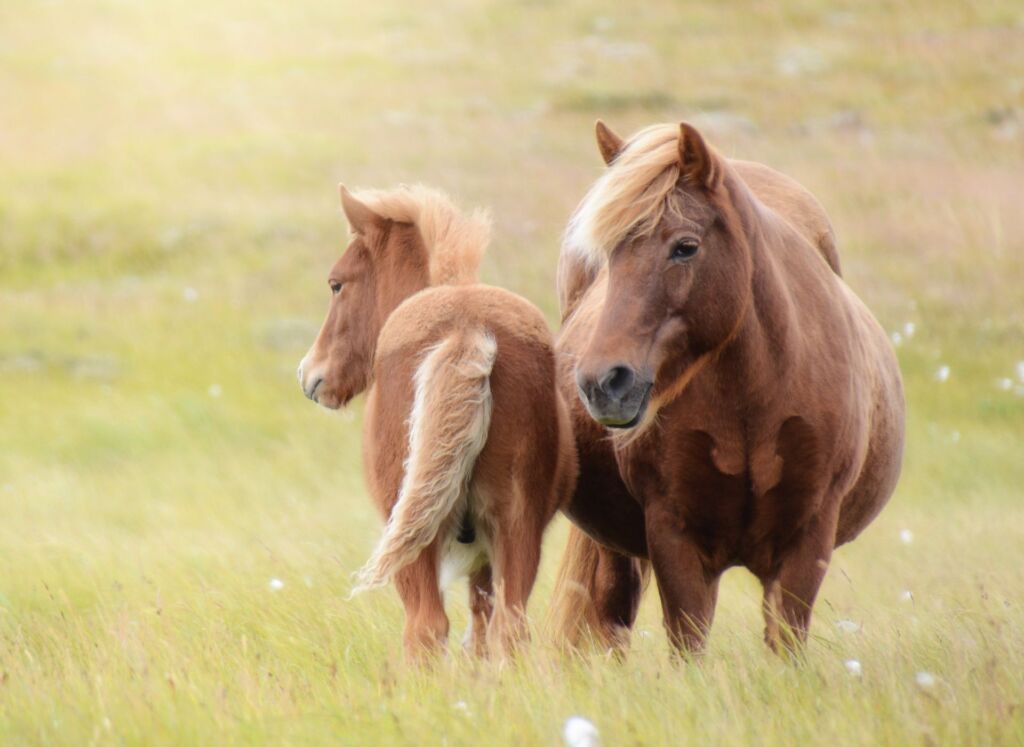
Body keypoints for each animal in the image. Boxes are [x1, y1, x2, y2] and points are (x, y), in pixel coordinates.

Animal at [299, 186, 581, 659]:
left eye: (336, 283)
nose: (311, 375)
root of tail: (466, 328)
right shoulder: (486, 555)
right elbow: (482, 629)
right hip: (516, 526)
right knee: (508, 628)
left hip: (413, 540)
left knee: (425, 628)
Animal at [552, 122, 905, 651]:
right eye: (607, 255)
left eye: (685, 246)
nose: (602, 382)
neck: (753, 400)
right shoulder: (675, 538)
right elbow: (687, 643)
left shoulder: (807, 540)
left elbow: (786, 643)